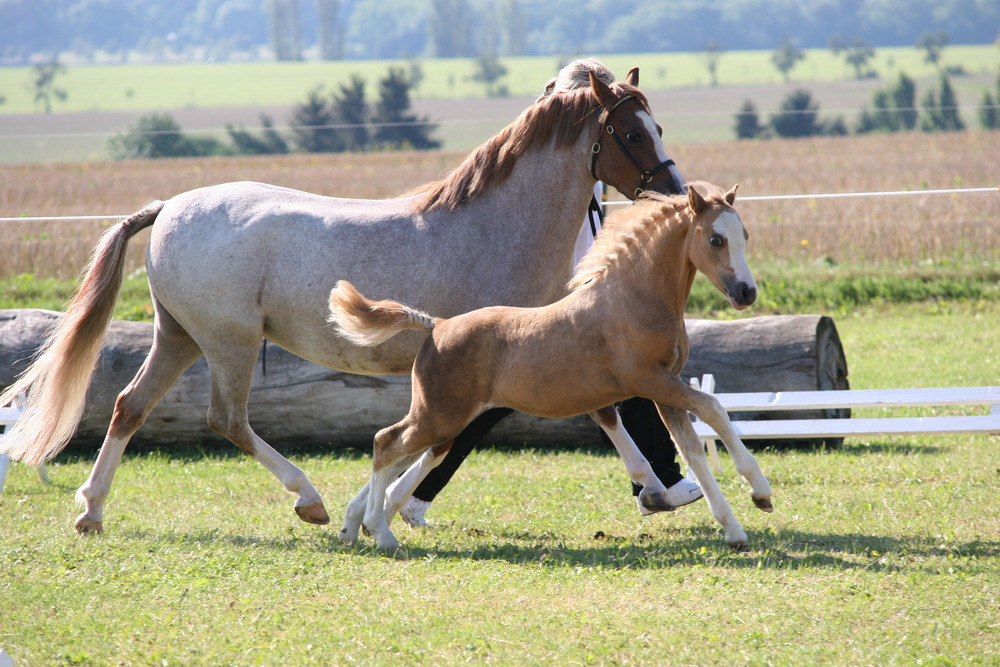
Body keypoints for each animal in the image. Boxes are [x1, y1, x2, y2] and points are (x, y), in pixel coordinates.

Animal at [0, 68, 688, 536]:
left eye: (657, 126)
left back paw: (90, 510)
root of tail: (169, 207)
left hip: (180, 336)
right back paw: (309, 500)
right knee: (226, 419)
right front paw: (658, 489)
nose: (678, 192)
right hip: (230, 341)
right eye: (631, 132)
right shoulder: (491, 360)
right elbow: (466, 435)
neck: (498, 226)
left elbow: (579, 414)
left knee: (128, 406)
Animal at [332, 184, 776, 552]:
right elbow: (714, 408)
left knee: (414, 453)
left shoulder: (666, 386)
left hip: (447, 417)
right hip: (439, 414)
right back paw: (380, 532)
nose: (746, 292)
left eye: (745, 236)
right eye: (716, 239)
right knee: (386, 442)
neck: (632, 298)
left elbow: (695, 451)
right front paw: (760, 489)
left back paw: (357, 527)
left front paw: (736, 529)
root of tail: (437, 325)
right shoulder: (649, 379)